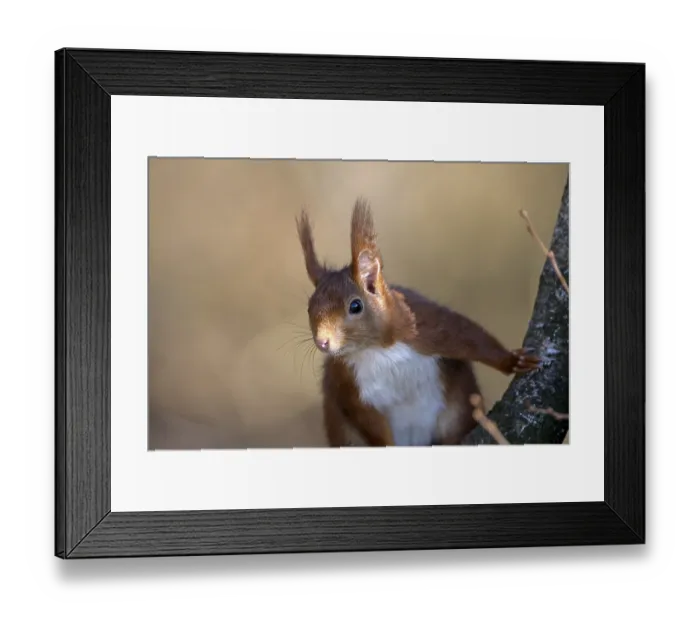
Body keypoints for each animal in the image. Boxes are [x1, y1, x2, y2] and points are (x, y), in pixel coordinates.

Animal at [295, 198, 540, 448]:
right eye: (309, 308)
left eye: (355, 306)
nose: (323, 342)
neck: (376, 349)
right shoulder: (347, 384)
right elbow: (368, 423)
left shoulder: (425, 325)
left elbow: (470, 337)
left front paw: (513, 361)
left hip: (457, 412)